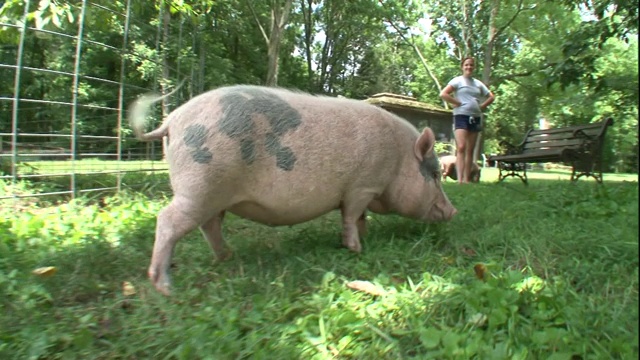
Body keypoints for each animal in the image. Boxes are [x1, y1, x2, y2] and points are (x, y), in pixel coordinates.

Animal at [127, 85, 458, 296]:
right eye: (433, 174)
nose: (453, 210)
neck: (398, 158)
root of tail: (172, 120)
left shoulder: (361, 191)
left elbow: (359, 217)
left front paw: (364, 237)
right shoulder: (361, 186)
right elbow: (351, 216)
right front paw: (356, 248)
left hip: (212, 196)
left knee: (209, 225)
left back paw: (227, 257)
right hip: (198, 187)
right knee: (168, 221)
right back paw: (166, 288)